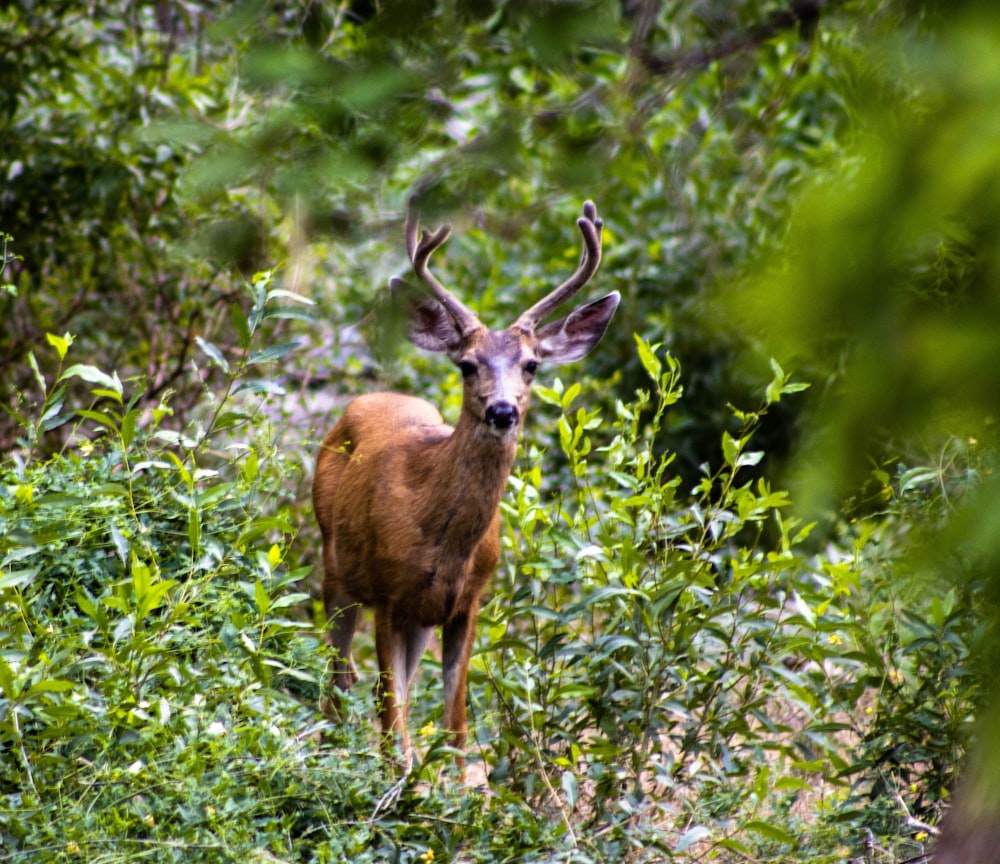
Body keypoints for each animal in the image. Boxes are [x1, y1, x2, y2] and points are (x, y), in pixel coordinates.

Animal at [316, 199, 620, 772]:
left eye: (532, 364)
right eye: (466, 364)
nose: (502, 411)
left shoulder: (468, 599)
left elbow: (455, 722)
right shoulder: (388, 593)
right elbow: (392, 718)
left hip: (415, 618)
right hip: (336, 570)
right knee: (337, 681)